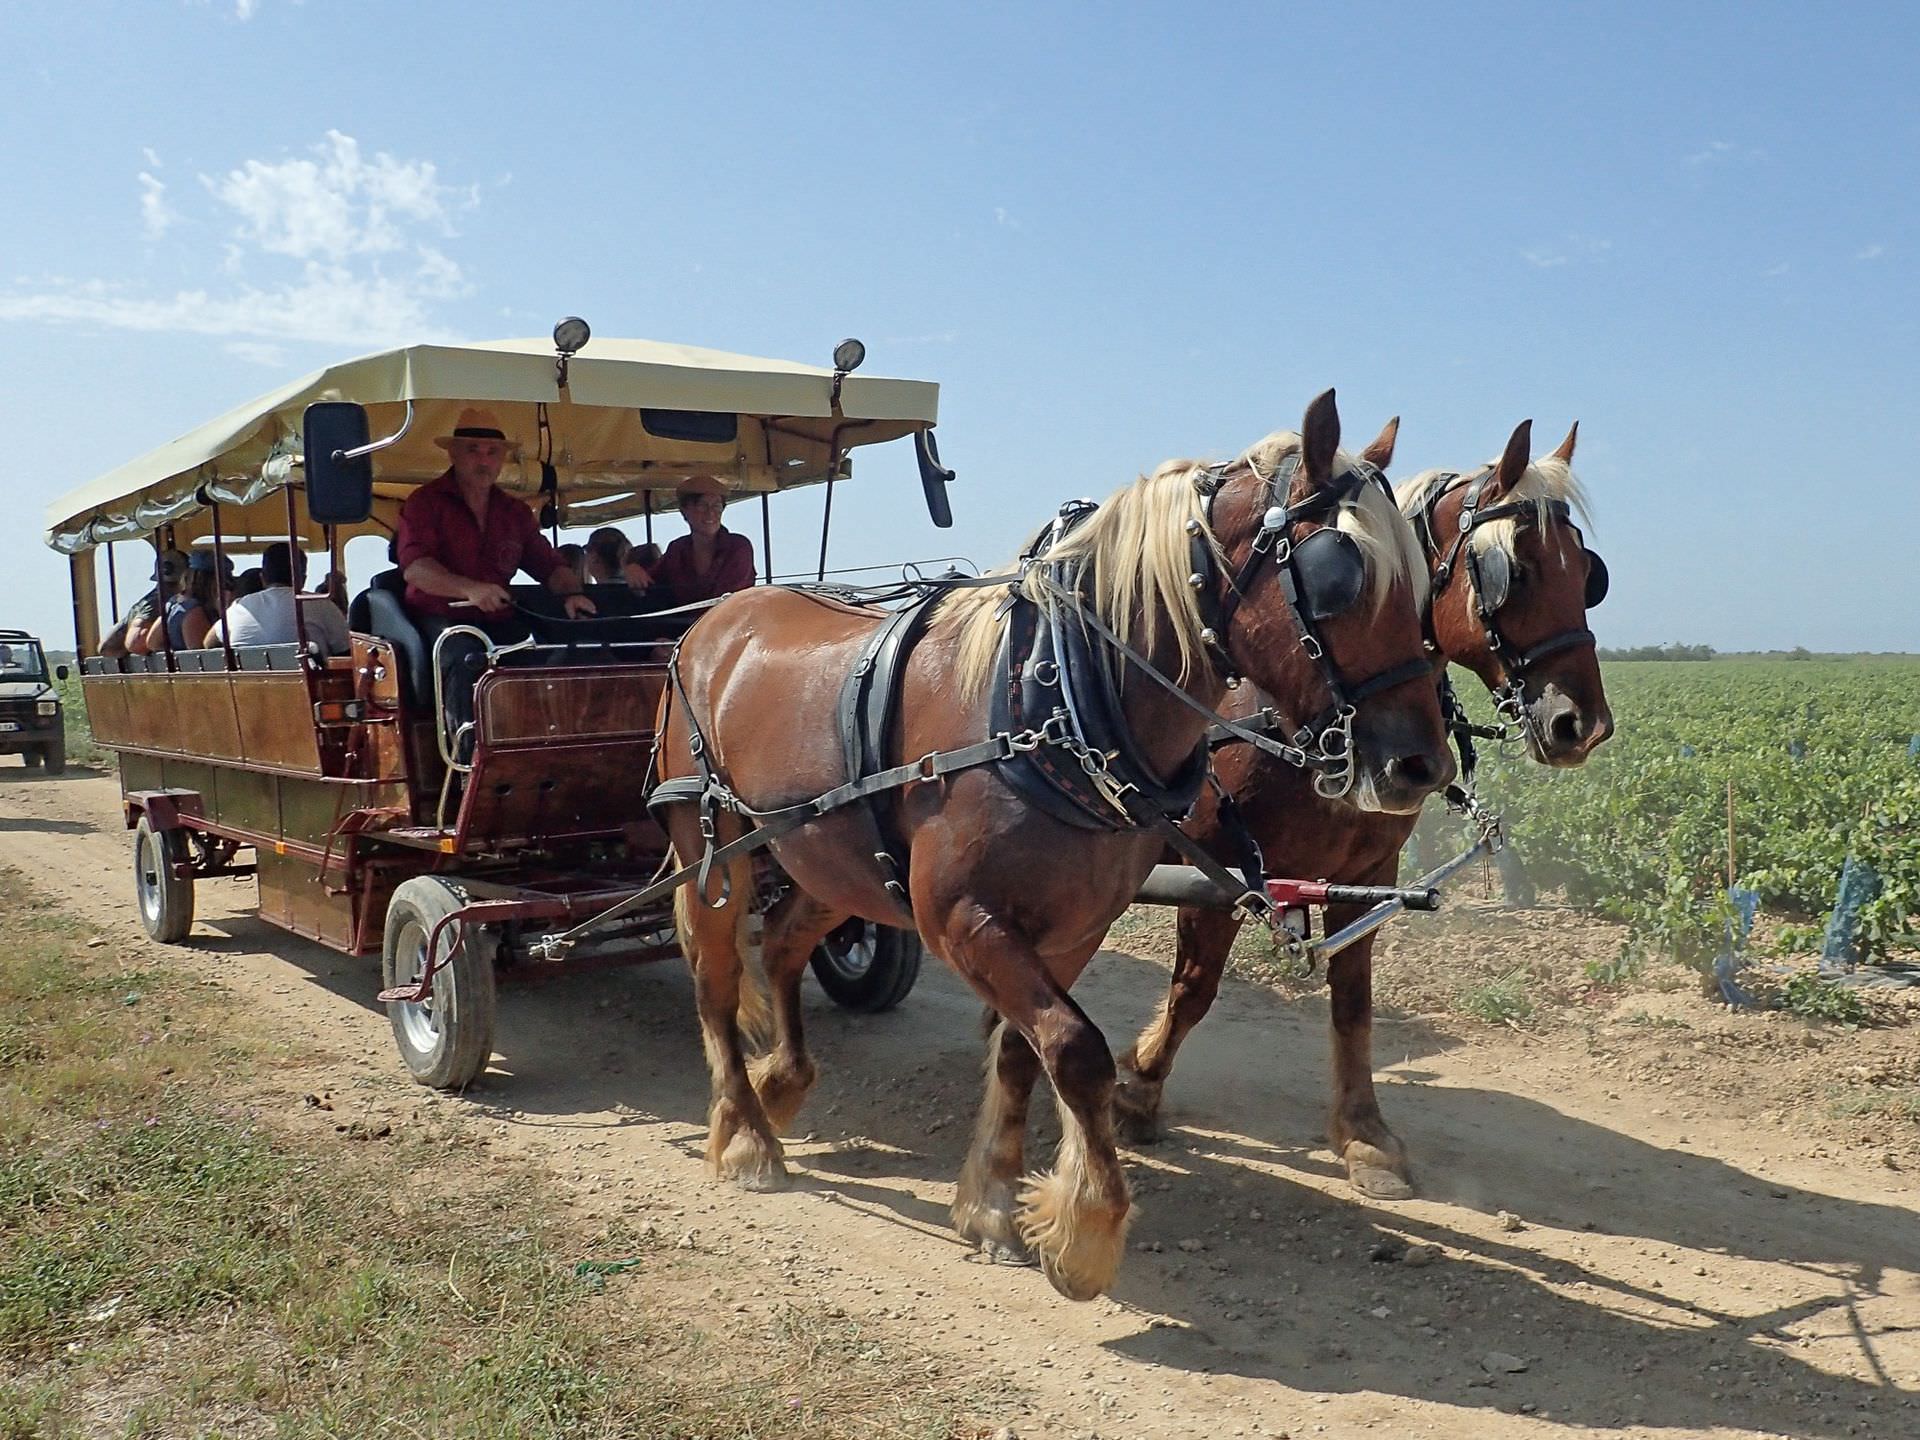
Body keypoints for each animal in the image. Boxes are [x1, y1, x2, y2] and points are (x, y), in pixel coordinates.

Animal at [652, 389, 1443, 1305]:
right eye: (1337, 576)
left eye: (1420, 580)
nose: (1421, 764)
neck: (1051, 701)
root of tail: (714, 621)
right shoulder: (960, 915)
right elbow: (1075, 1049)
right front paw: (1087, 1231)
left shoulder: (1073, 925)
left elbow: (1022, 1054)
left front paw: (992, 1202)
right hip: (713, 849)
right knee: (715, 975)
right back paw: (745, 1131)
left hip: (830, 858)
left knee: (780, 947)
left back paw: (781, 1082)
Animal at [1113, 422, 1620, 1198]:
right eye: (1515, 570)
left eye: (1587, 574)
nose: (1582, 725)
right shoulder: (1216, 867)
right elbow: (1194, 990)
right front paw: (1137, 1090)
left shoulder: (1368, 871)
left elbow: (1353, 1002)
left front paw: (1363, 1135)